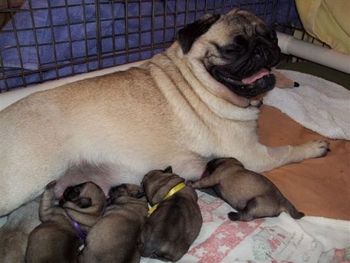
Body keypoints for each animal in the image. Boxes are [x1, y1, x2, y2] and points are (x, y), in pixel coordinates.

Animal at [0, 8, 330, 217]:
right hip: (24, 181)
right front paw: (315, 146)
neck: (198, 81)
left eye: (271, 37)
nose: (263, 49)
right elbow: (287, 150)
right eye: (232, 49)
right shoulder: (254, 155)